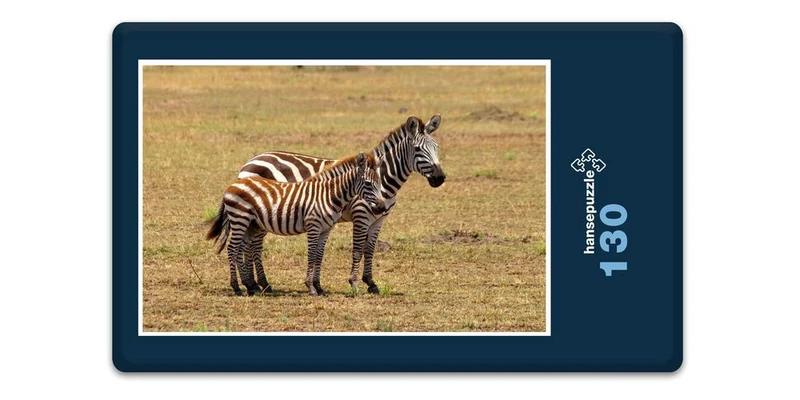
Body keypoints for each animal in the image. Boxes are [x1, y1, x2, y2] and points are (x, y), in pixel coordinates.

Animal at [206, 153, 386, 296]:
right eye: (368, 183)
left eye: (380, 182)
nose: (382, 207)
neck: (329, 194)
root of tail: (233, 184)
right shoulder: (313, 226)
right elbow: (312, 255)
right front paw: (310, 288)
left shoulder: (326, 229)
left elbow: (319, 256)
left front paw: (319, 287)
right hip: (240, 218)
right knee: (232, 248)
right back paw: (237, 288)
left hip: (250, 224)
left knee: (240, 249)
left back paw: (250, 287)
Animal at [238, 115, 446, 294]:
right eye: (418, 149)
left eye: (437, 147)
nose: (440, 178)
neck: (383, 178)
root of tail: (251, 161)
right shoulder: (361, 215)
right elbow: (357, 250)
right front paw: (354, 283)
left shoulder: (378, 219)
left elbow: (370, 250)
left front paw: (371, 283)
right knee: (253, 245)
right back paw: (259, 284)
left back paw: (257, 284)